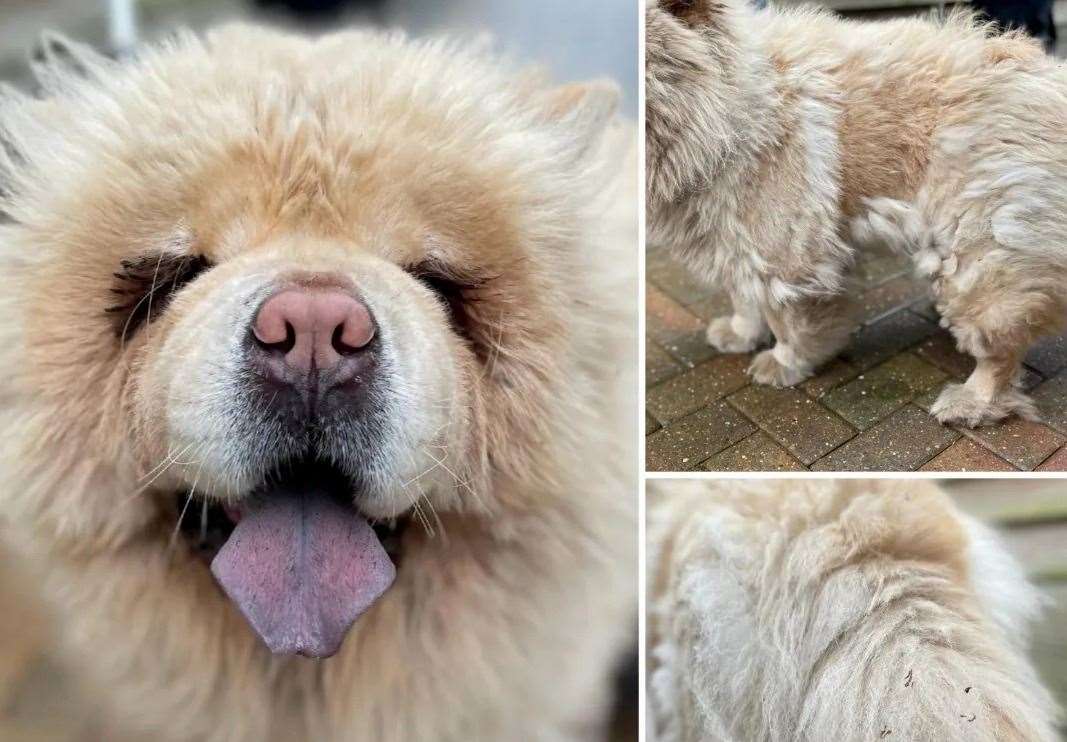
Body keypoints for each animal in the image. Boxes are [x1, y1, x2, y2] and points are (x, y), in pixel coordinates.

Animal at [644, 0, 1067, 427]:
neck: (731, 105)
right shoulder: (730, 236)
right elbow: (744, 295)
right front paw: (740, 333)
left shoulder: (785, 249)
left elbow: (787, 320)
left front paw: (784, 363)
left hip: (977, 255)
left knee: (998, 349)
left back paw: (971, 401)